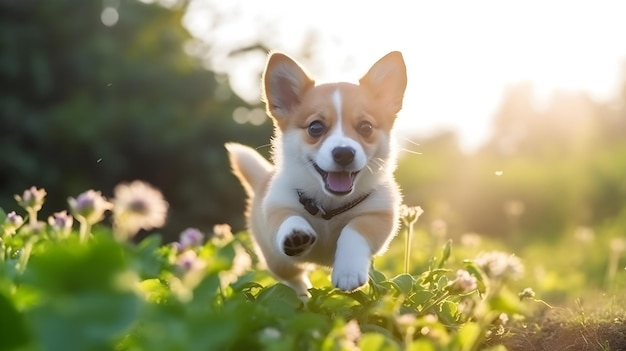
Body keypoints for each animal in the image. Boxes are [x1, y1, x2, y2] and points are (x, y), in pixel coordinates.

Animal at [227, 50, 408, 296]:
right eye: (315, 127)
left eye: (366, 128)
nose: (344, 153)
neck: (329, 207)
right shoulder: (277, 207)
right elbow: (288, 218)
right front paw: (296, 233)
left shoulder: (378, 215)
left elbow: (354, 230)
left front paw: (348, 272)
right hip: (277, 262)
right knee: (295, 279)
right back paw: (304, 296)